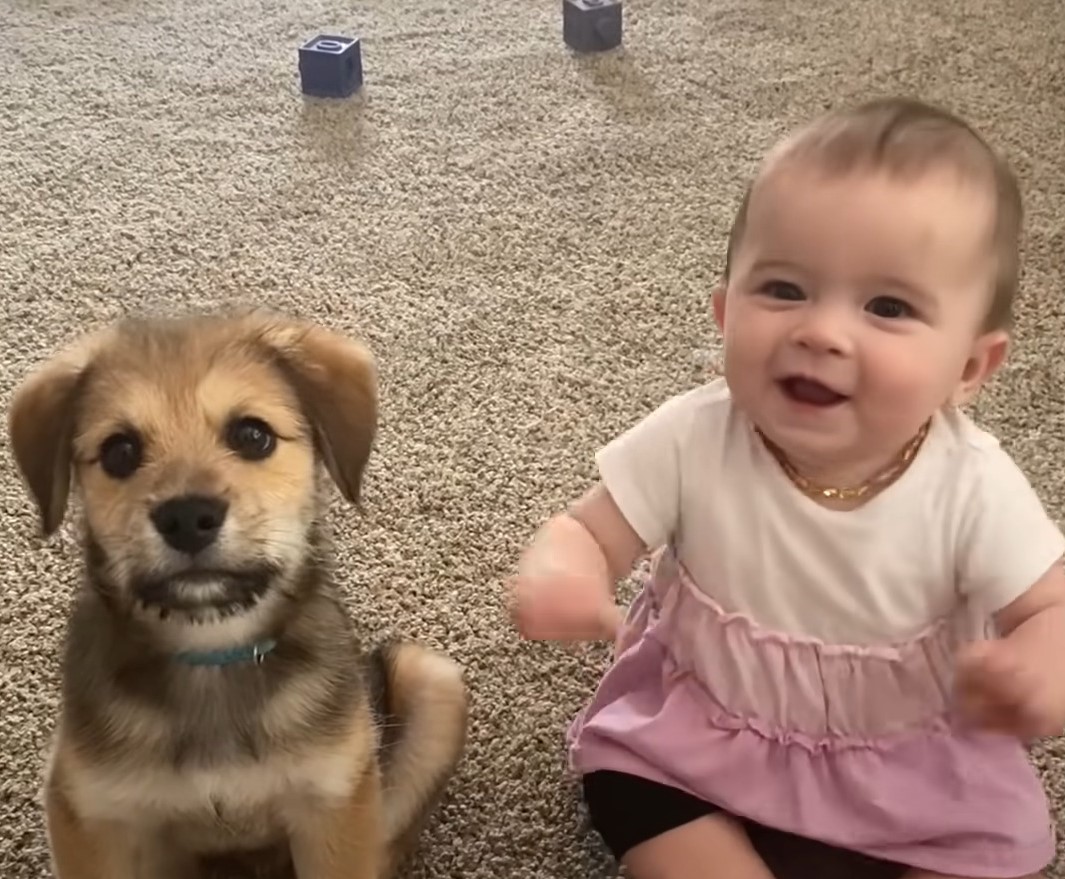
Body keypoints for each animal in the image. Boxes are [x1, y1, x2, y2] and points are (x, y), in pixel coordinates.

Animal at [6, 311, 468, 877]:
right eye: (120, 452)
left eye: (252, 435)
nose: (187, 518)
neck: (212, 655)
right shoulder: (90, 815)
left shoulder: (334, 804)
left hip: (434, 682)